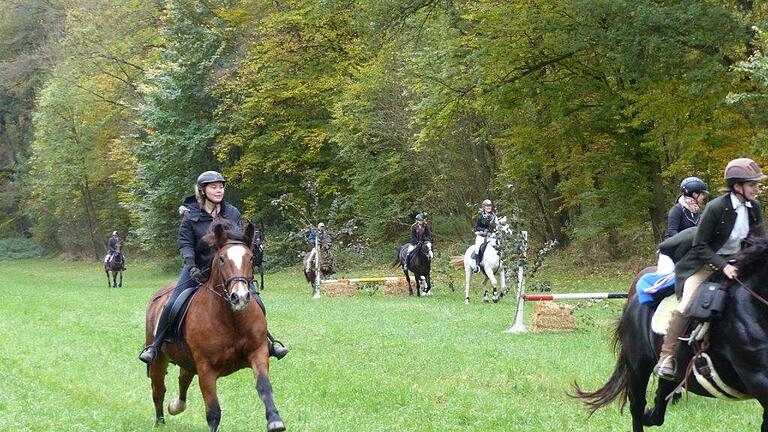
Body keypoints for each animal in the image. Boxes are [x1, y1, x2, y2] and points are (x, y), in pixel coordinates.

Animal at [142, 223, 284, 432]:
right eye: (222, 259)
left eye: (250, 257)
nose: (240, 297)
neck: (232, 319)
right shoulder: (206, 369)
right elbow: (213, 412)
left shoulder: (258, 352)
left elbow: (264, 386)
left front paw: (275, 420)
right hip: (159, 358)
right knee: (158, 389)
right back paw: (160, 421)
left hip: (187, 361)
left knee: (183, 379)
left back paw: (176, 406)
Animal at [572, 238, 768, 430]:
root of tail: (634, 299)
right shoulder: (758, 377)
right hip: (639, 366)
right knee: (637, 405)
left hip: (674, 369)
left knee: (660, 398)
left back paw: (651, 414)